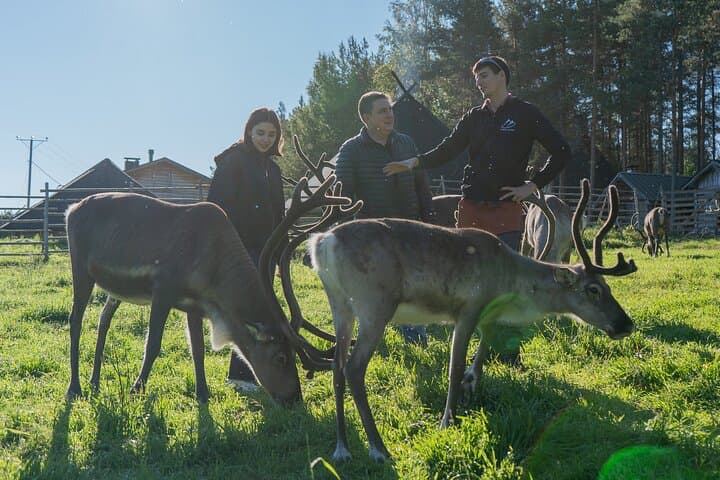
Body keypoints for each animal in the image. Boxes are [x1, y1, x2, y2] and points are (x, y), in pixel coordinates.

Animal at [65, 137, 360, 406]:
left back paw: (94, 381)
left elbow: (198, 349)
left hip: (114, 289)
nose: (294, 398)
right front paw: (137, 389)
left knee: (103, 320)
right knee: (75, 319)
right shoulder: (164, 288)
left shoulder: (195, 303)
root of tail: (71, 208)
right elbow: (154, 344)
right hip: (80, 268)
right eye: (281, 357)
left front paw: (203, 394)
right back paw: (75, 387)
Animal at [308, 178, 637, 463]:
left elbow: (485, 345)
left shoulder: (486, 313)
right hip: (374, 306)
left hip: (340, 305)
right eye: (593, 289)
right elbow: (453, 369)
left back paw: (342, 448)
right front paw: (447, 421)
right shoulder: (468, 309)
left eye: (608, 287)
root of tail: (323, 242)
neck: (510, 281)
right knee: (354, 368)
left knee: (336, 367)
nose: (626, 324)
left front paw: (472, 382)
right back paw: (379, 449)